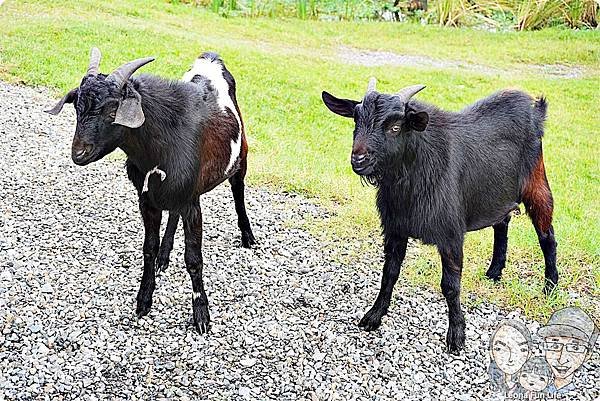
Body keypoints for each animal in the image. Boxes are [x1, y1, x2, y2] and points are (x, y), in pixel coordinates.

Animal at [44, 48, 255, 332]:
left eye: (112, 109)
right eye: (77, 107)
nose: (79, 153)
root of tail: (211, 57)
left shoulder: (191, 203)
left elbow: (193, 258)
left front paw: (201, 315)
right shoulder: (147, 201)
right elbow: (149, 248)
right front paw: (144, 300)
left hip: (240, 159)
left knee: (238, 190)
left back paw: (248, 236)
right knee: (173, 214)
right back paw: (165, 256)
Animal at [324, 79, 556, 354]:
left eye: (394, 127)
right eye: (356, 120)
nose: (358, 159)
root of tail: (534, 109)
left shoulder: (451, 235)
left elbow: (450, 286)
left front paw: (456, 335)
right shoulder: (395, 229)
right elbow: (389, 272)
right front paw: (374, 315)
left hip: (537, 184)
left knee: (547, 235)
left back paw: (550, 286)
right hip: (497, 193)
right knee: (502, 223)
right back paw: (494, 271)